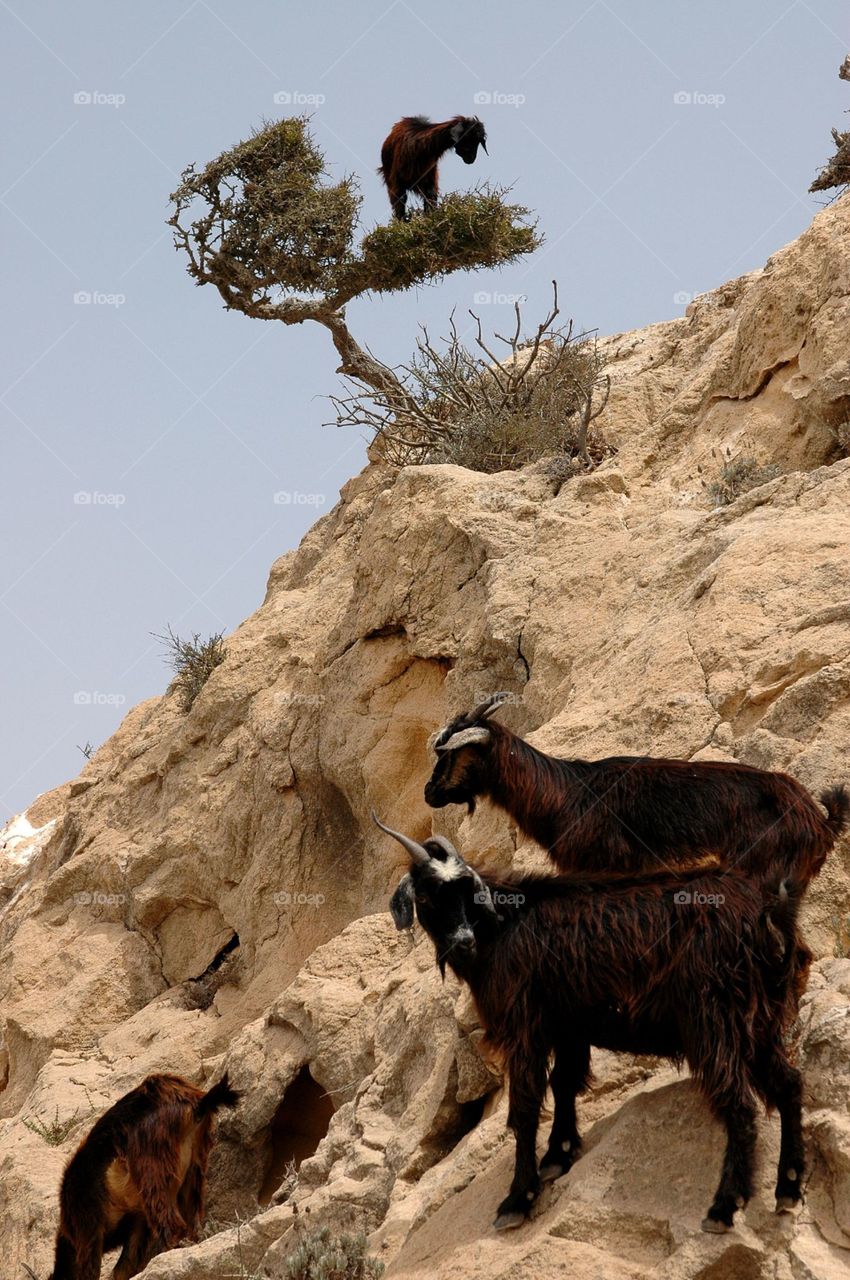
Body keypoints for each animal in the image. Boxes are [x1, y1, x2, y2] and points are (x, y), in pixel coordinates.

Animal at [45, 1073, 238, 1280]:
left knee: (172, 1225)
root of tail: (196, 1104)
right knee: (191, 1224)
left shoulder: (88, 1228)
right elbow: (125, 1265)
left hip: (153, 1170)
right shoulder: (137, 1220)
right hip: (193, 1169)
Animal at [374, 813, 806, 1234]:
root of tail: (766, 914)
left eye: (466, 892)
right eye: (426, 895)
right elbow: (564, 1083)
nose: (464, 941)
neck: (502, 925)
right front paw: (558, 1155)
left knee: (740, 1103)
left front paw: (518, 1199)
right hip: (759, 1020)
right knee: (789, 1084)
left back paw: (723, 1207)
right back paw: (788, 1187)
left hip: (713, 1018)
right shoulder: (569, 1027)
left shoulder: (525, 1028)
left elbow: (525, 1108)